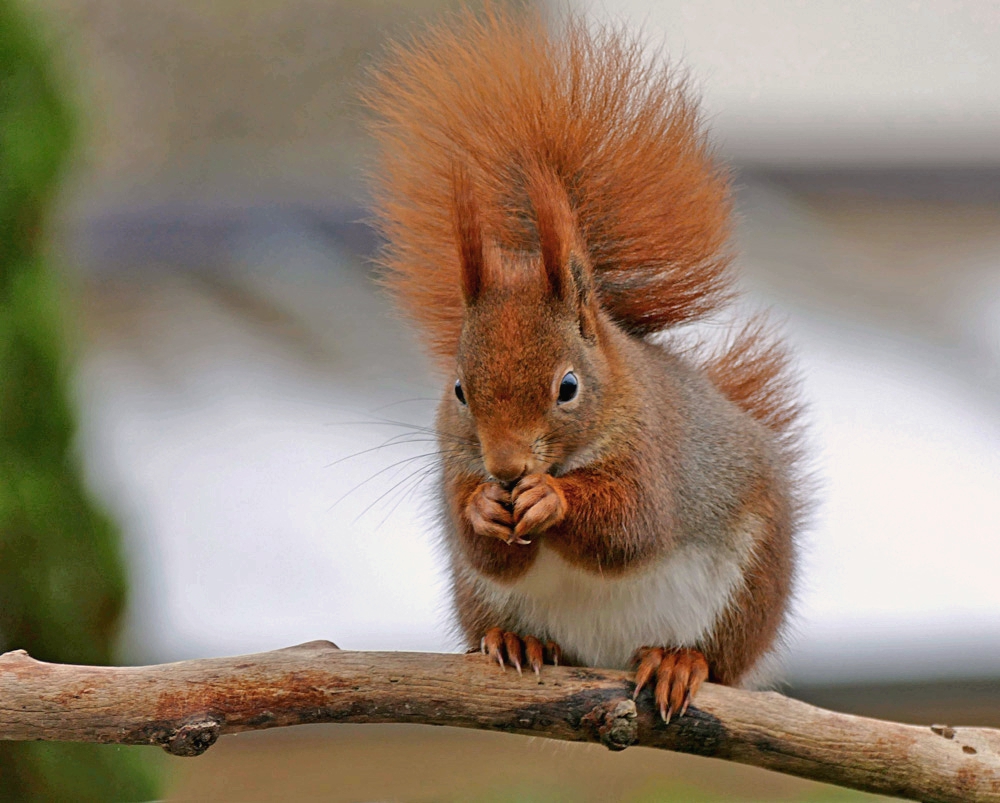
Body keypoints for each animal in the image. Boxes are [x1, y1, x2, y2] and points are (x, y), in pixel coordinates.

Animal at [364, 7, 808, 724]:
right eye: (459, 389)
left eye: (568, 386)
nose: (507, 469)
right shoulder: (453, 463)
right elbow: (482, 547)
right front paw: (484, 508)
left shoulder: (654, 451)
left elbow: (630, 524)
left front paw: (552, 498)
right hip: (476, 599)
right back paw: (516, 639)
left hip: (750, 585)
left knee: (720, 656)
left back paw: (679, 660)